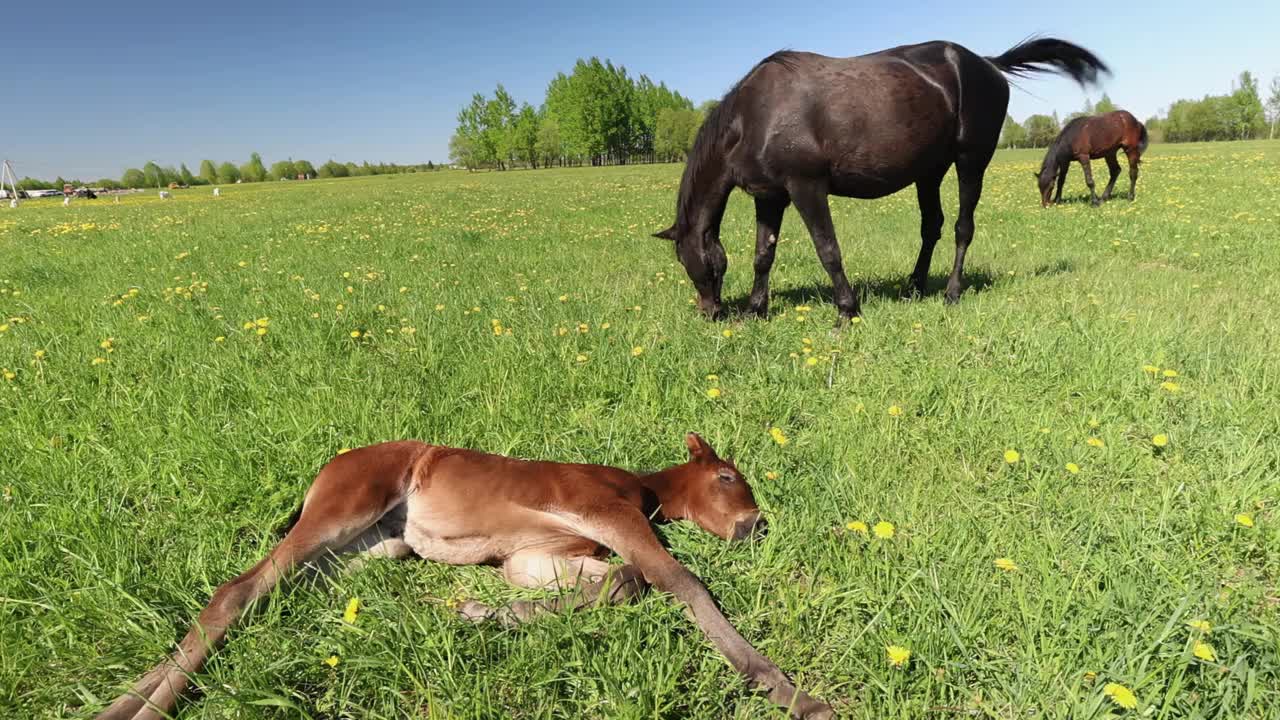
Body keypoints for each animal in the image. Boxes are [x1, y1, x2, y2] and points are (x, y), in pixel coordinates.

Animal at [90, 430, 829, 717]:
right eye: (728, 478)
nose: (756, 526)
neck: (638, 487)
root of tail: (329, 468)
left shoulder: (536, 557)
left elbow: (622, 584)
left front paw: (481, 614)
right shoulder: (604, 510)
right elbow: (678, 581)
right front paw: (789, 691)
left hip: (369, 549)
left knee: (265, 596)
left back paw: (123, 700)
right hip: (343, 509)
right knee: (238, 589)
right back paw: (143, 708)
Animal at [655, 38, 1105, 319]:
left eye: (686, 259)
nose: (709, 312)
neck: (755, 116)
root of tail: (988, 64)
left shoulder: (806, 188)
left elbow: (828, 250)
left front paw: (847, 310)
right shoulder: (770, 196)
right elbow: (763, 254)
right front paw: (754, 310)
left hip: (970, 163)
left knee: (962, 227)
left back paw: (951, 292)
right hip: (929, 172)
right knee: (932, 226)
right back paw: (914, 287)